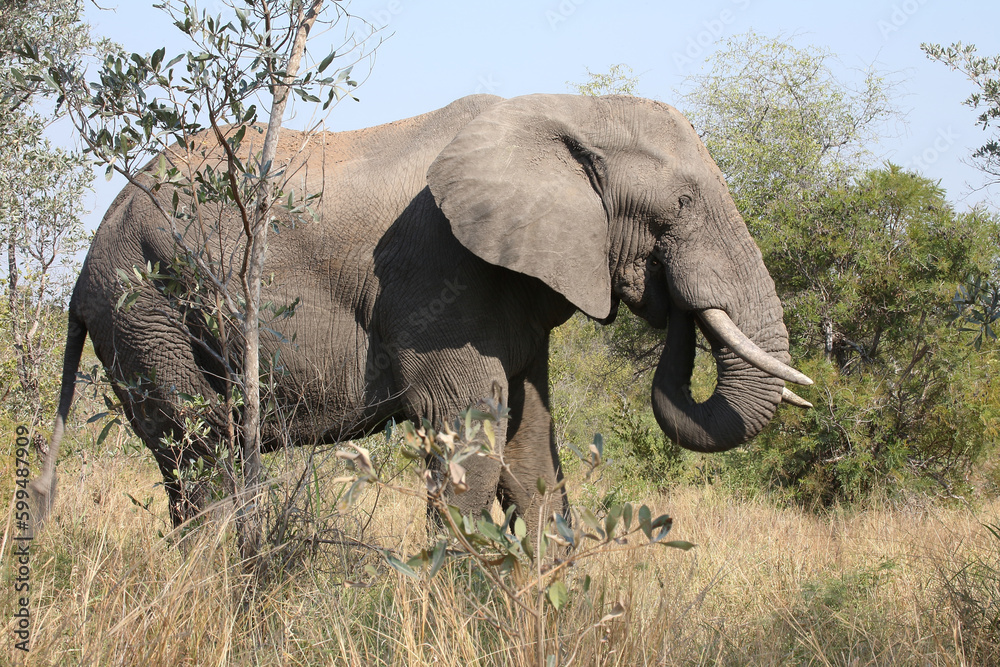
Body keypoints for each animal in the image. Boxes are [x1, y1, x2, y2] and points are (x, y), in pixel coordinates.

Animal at [30, 93, 811, 532]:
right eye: (679, 205)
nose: (674, 298)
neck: (565, 109)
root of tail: (84, 269)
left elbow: (531, 459)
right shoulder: (442, 277)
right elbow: (472, 457)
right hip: (148, 306)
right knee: (203, 462)